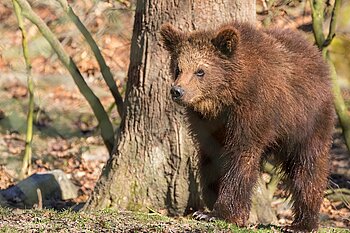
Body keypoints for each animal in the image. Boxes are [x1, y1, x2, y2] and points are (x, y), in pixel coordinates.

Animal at [160, 21, 334, 231]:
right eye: (178, 68)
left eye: (200, 71)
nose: (177, 91)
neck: (226, 98)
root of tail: (316, 54)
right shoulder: (209, 125)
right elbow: (212, 157)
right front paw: (211, 204)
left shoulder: (252, 113)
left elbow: (241, 158)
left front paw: (219, 213)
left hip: (305, 121)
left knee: (308, 166)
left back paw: (302, 223)